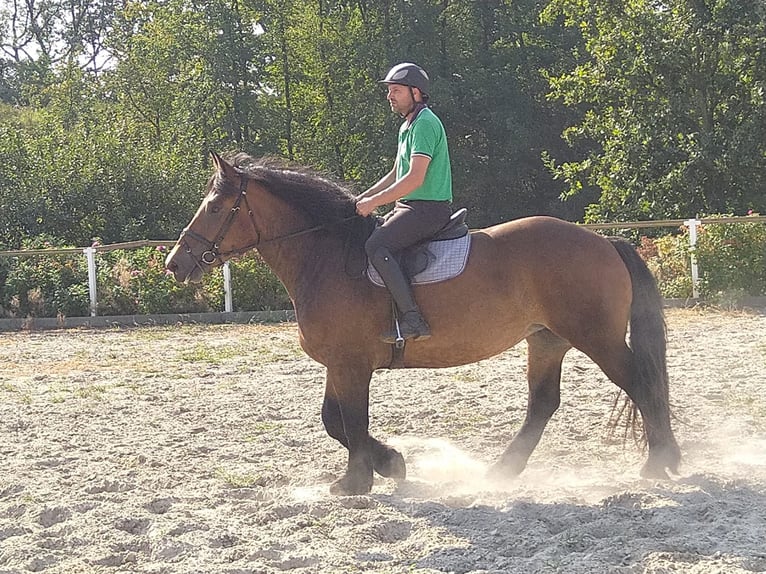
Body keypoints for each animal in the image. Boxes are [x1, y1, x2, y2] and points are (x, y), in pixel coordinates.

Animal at [168, 152, 684, 496]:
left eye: (215, 207)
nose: (176, 264)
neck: (328, 256)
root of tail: (604, 241)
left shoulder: (351, 363)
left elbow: (351, 419)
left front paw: (357, 480)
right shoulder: (340, 363)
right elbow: (334, 419)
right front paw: (391, 463)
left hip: (597, 338)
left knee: (641, 382)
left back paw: (659, 462)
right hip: (547, 340)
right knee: (544, 403)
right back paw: (502, 471)